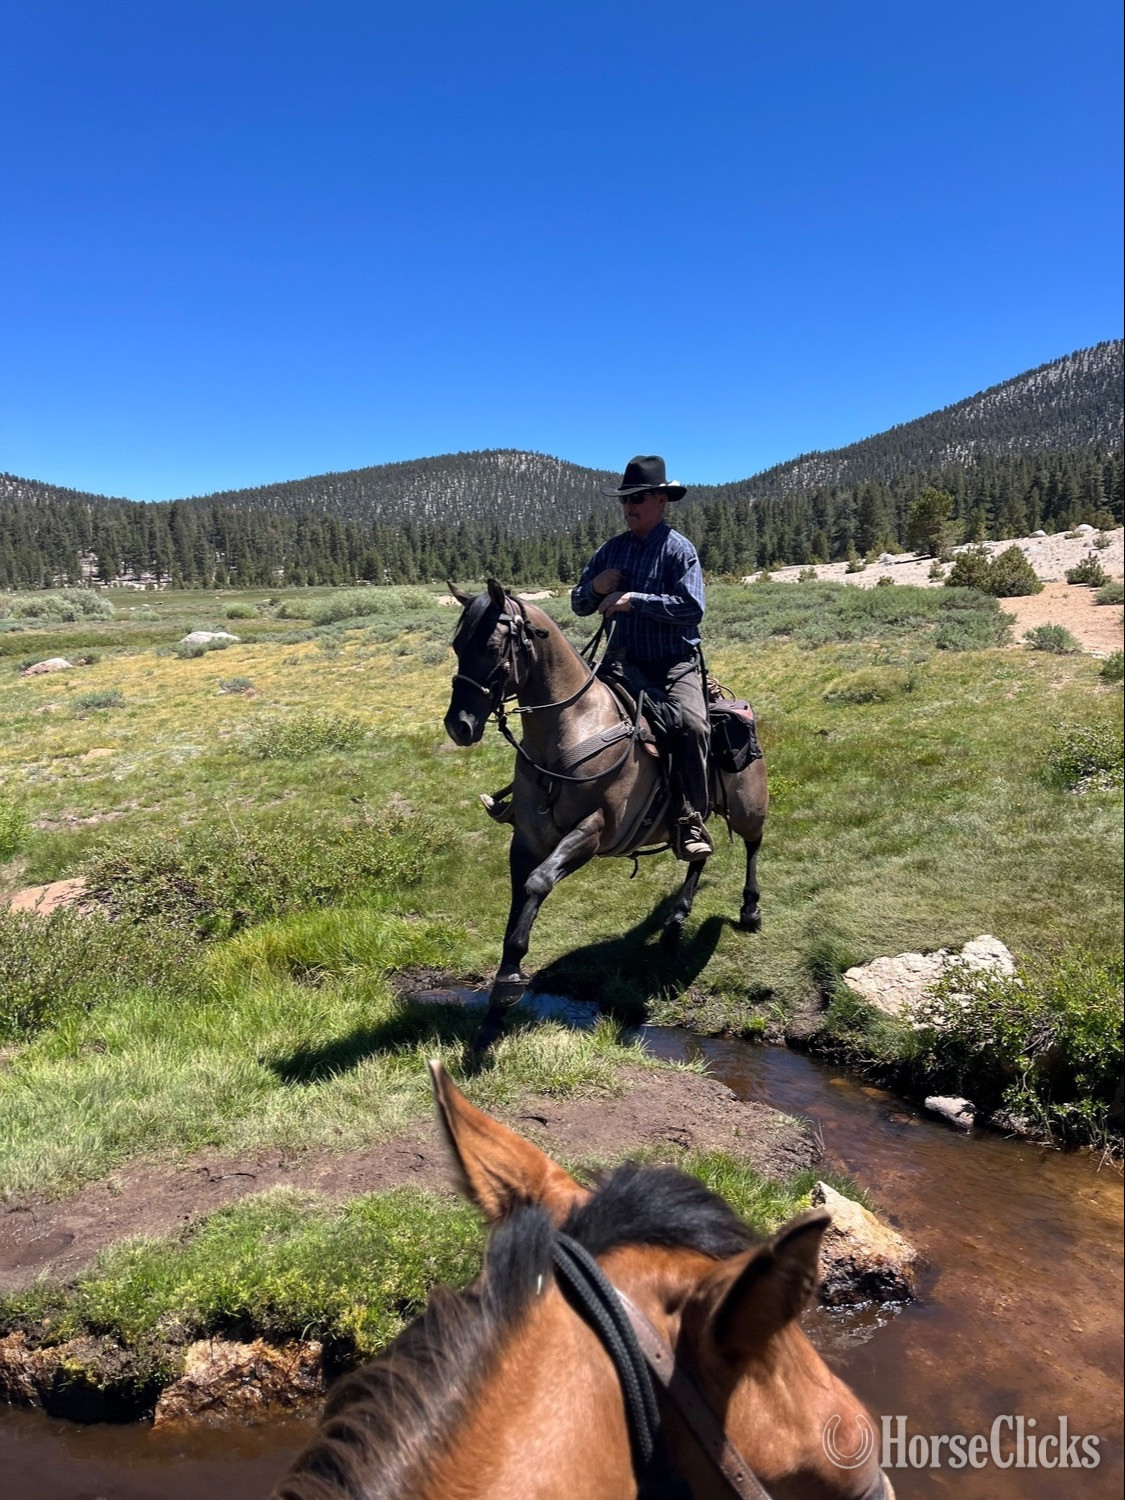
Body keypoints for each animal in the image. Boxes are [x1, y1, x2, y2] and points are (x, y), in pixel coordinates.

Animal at [442, 581, 768, 1037]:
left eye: (492, 646)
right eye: (457, 645)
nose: (459, 725)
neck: (571, 726)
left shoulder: (594, 831)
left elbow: (538, 883)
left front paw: (508, 986)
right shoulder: (526, 839)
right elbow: (517, 906)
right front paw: (494, 1015)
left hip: (747, 806)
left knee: (754, 844)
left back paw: (750, 910)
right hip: (697, 816)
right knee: (698, 852)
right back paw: (676, 920)